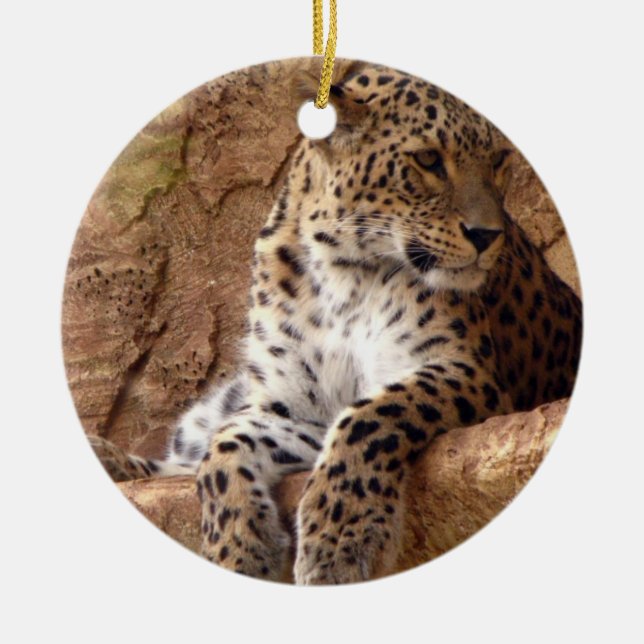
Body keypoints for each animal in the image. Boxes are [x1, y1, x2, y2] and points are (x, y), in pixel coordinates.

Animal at [90, 62, 582, 585]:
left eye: (499, 162)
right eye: (428, 159)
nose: (488, 235)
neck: (346, 272)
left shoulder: (467, 372)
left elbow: (369, 416)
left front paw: (339, 542)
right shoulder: (297, 407)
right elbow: (223, 450)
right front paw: (241, 547)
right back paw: (110, 457)